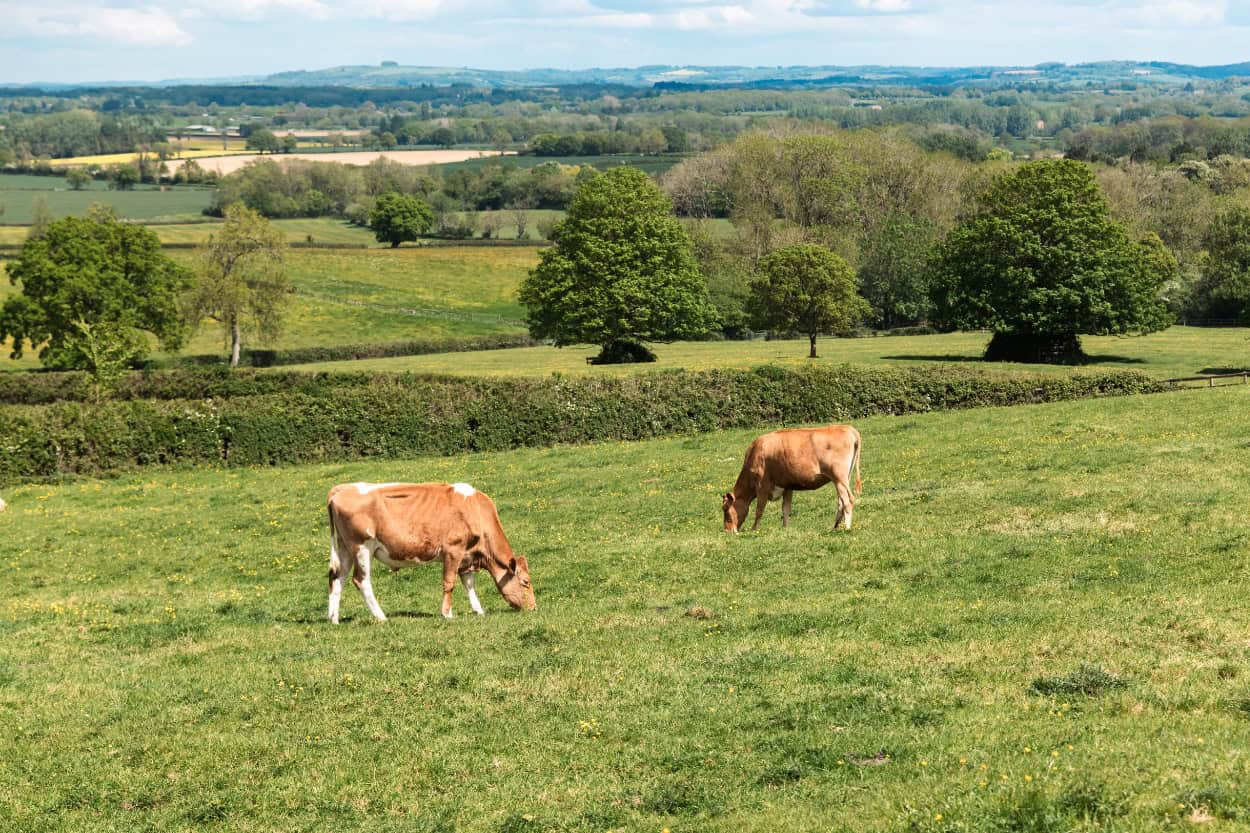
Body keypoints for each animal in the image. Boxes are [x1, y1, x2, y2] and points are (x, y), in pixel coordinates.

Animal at [326, 481, 536, 624]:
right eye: (525, 582)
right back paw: (381, 616)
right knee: (361, 580)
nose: (534, 608)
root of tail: (343, 488)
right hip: (361, 547)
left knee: (337, 578)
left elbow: (469, 584)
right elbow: (449, 582)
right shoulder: (453, 550)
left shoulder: (467, 556)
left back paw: (334, 619)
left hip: (344, 548)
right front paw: (447, 613)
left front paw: (479, 610)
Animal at [721, 425, 862, 533]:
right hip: (843, 478)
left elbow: (759, 509)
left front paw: (754, 529)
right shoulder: (787, 486)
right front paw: (785, 528)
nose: (727, 531)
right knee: (841, 501)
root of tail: (848, 428)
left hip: (839, 477)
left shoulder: (762, 485)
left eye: (725, 509)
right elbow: (786, 509)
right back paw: (835, 527)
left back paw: (846, 528)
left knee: (848, 500)